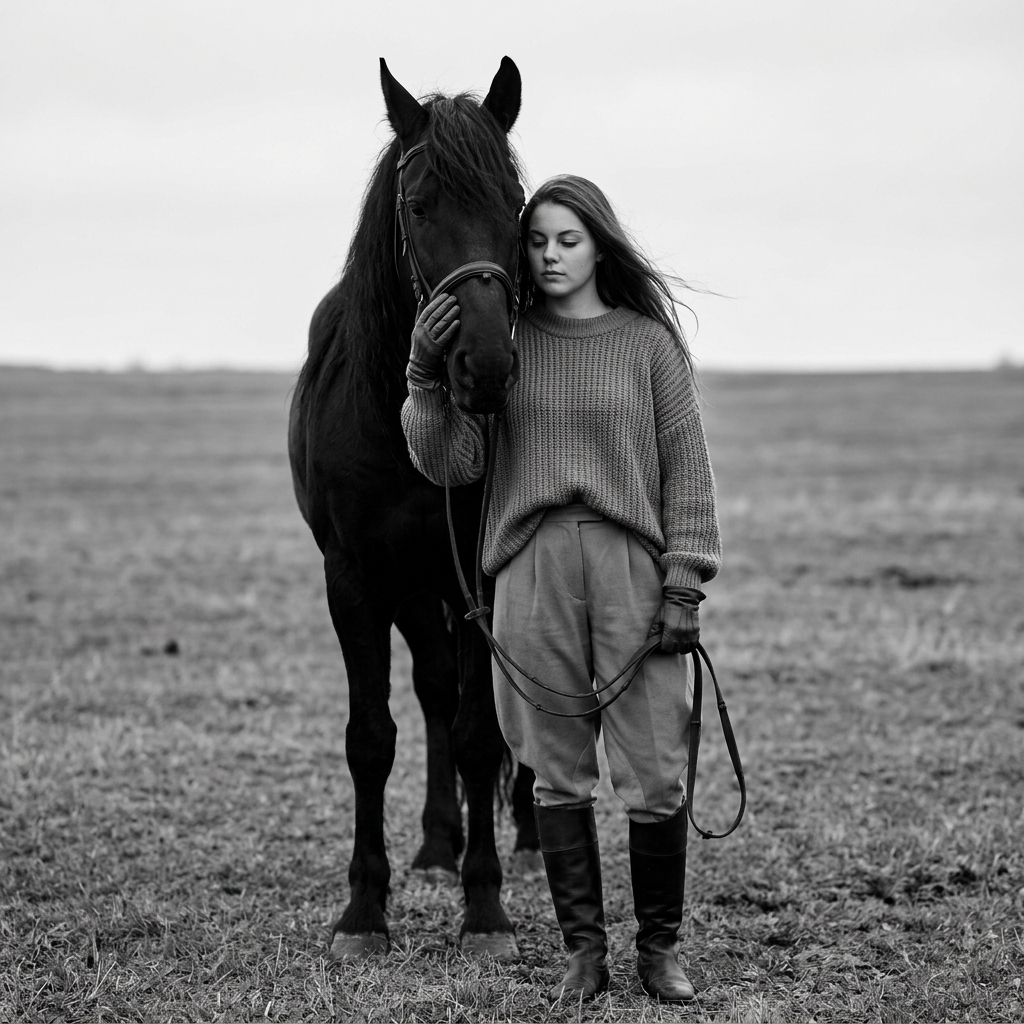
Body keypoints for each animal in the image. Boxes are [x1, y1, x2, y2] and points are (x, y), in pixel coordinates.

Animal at [288, 57, 538, 961]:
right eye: (421, 205)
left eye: (516, 203)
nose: (486, 367)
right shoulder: (356, 578)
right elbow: (372, 739)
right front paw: (365, 910)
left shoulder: (482, 576)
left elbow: (478, 733)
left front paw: (486, 906)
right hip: (413, 587)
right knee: (431, 686)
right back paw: (435, 842)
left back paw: (521, 839)